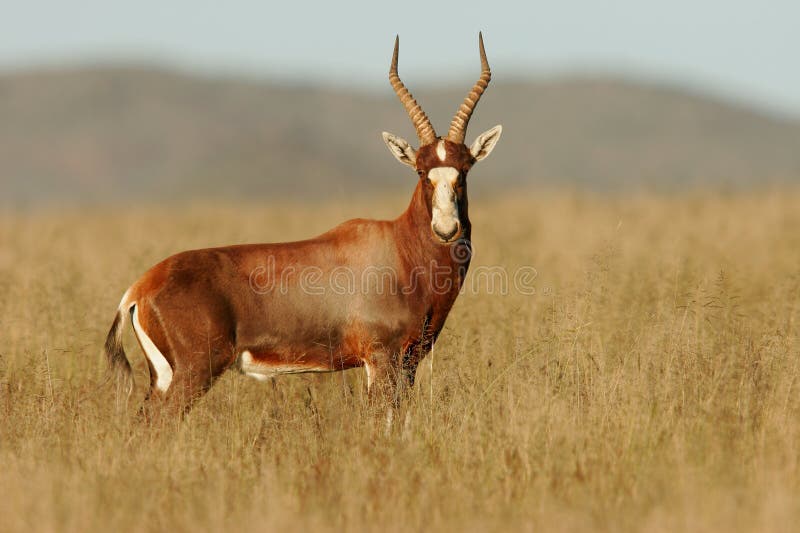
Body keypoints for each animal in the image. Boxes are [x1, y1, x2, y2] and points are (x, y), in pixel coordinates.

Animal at [100, 34, 500, 412]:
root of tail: (138, 289)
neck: (399, 248)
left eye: (464, 169)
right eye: (420, 171)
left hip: (163, 378)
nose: (446, 230)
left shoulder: (409, 363)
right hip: (193, 372)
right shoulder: (380, 358)